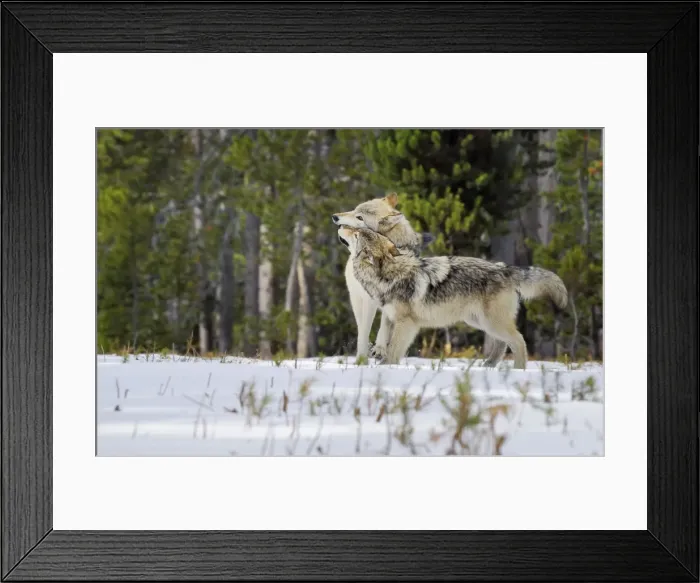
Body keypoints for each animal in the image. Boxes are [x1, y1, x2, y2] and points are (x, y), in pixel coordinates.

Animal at [332, 192, 433, 360]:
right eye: (354, 210)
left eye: (360, 217)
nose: (335, 217)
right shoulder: (358, 297)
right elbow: (362, 328)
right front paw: (363, 353)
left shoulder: (384, 297)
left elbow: (383, 324)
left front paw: (378, 349)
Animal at [337, 226, 568, 369]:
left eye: (357, 233)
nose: (340, 226)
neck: (388, 274)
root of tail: (505, 269)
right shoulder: (391, 318)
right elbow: (383, 341)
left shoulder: (407, 324)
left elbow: (394, 350)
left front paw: (386, 369)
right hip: (481, 322)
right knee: (502, 344)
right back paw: (490, 366)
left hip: (491, 323)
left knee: (519, 341)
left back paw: (518, 370)